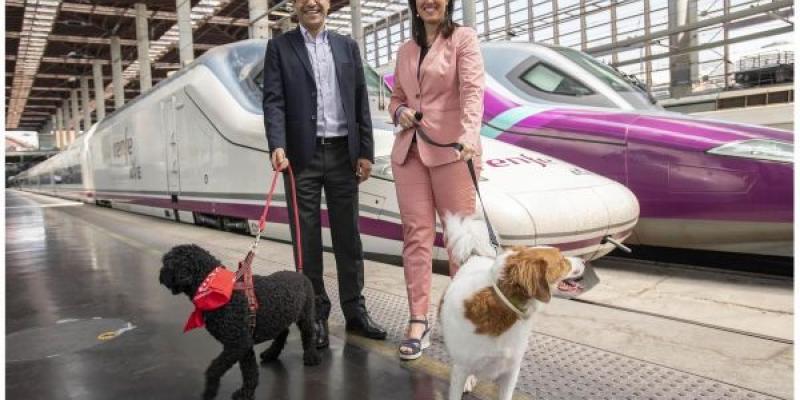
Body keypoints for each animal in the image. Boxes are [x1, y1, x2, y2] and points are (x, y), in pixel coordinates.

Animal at [159, 244, 322, 400]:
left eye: (167, 264)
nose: (160, 275)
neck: (214, 287)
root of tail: (301, 275)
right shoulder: (244, 344)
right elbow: (249, 371)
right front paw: (246, 392)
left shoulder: (238, 344)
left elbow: (214, 369)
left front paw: (210, 390)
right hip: (281, 316)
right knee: (283, 332)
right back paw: (271, 353)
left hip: (305, 315)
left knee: (308, 334)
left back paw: (311, 356)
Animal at [440, 214, 584, 400]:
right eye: (562, 261)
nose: (584, 260)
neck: (504, 307)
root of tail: (475, 256)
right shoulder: (461, 366)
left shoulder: (511, 370)